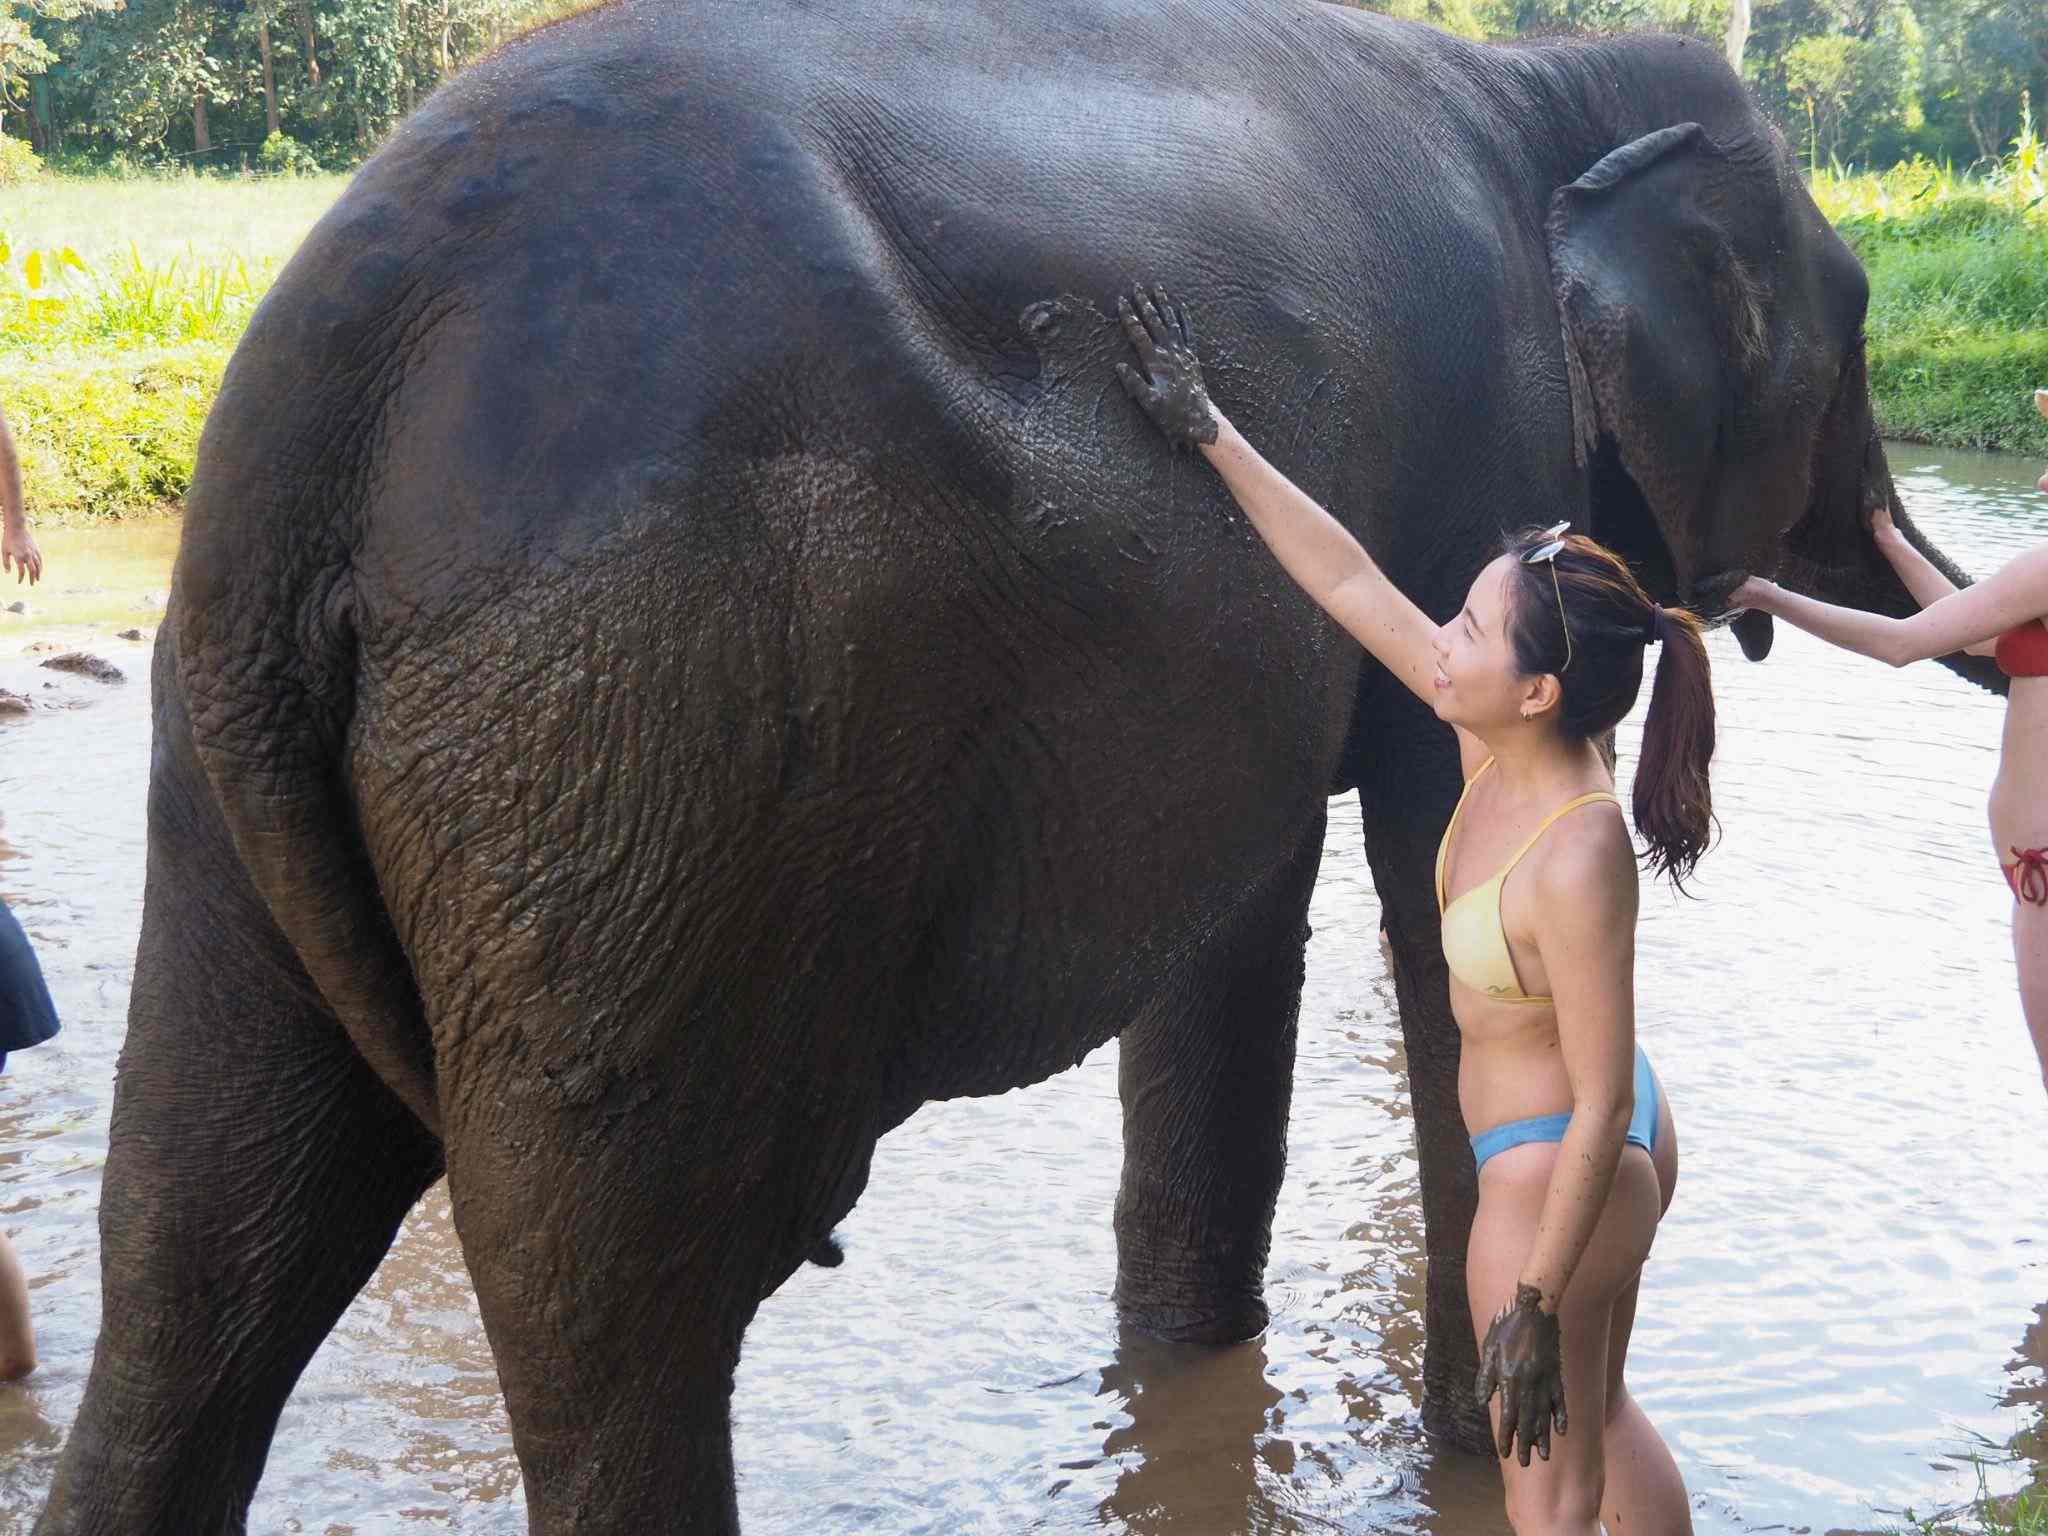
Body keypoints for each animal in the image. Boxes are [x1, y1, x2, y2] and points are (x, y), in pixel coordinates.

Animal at [37, 0, 2000, 1530]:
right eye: (1851, 337)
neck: (1541, 86)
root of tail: (335, 359)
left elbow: (1243, 915)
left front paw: (1186, 1366)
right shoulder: (1478, 459)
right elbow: (1424, 858)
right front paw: (1467, 1460)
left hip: (271, 734)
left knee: (202, 1240)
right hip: (641, 738)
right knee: (611, 1295)